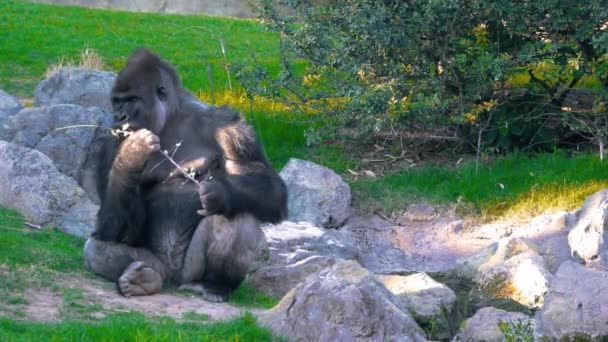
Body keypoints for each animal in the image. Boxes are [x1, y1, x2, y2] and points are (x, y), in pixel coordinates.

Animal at [82, 48, 288, 302]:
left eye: (131, 100)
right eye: (116, 101)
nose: (119, 117)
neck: (171, 117)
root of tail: (173, 279)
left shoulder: (228, 127)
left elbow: (270, 188)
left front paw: (219, 192)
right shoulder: (110, 144)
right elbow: (114, 228)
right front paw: (133, 154)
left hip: (189, 271)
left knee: (236, 217)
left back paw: (212, 284)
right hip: (157, 265)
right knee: (96, 248)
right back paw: (144, 280)